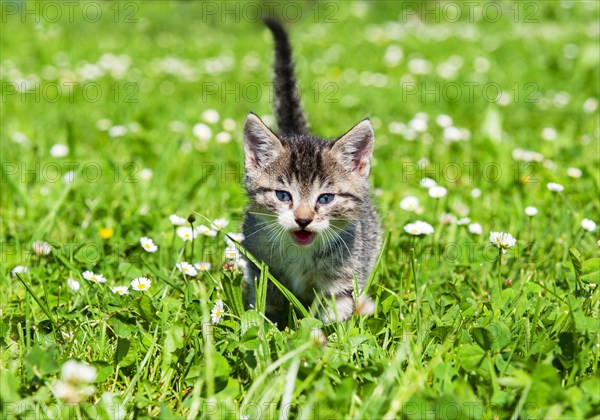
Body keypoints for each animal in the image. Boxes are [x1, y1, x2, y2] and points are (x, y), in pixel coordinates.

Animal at [241, 18, 382, 328]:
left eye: (325, 199)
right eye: (283, 195)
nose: (303, 220)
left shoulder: (343, 275)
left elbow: (334, 316)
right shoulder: (260, 267)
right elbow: (266, 304)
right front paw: (267, 330)